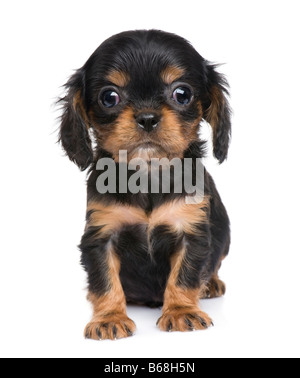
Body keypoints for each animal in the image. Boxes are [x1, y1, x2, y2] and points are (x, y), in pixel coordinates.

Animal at [59, 30, 232, 340]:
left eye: (182, 94)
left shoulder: (191, 232)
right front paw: (109, 318)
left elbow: (184, 276)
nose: (147, 117)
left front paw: (181, 312)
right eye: (109, 97)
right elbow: (104, 281)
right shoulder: (101, 236)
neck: (149, 174)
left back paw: (210, 284)